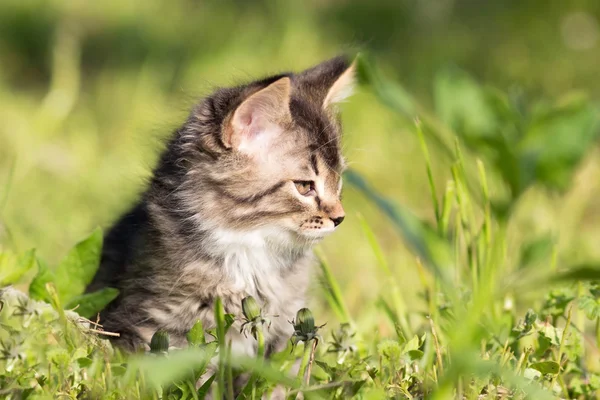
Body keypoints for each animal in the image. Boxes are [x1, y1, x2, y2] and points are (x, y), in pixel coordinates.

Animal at [86, 54, 354, 356]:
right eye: (305, 187)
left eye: (338, 181)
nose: (340, 217)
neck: (250, 254)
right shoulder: (147, 325)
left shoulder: (286, 325)